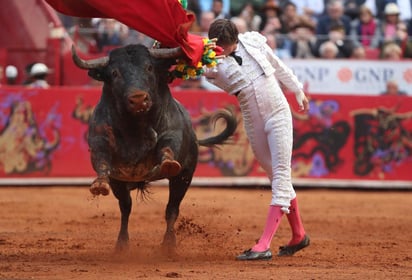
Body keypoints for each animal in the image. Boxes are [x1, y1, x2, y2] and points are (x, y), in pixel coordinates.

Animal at [72, 44, 237, 252]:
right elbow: (102, 161)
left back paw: (168, 244)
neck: (136, 126)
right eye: (115, 73)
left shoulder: (171, 135)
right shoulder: (100, 141)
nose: (138, 99)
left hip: (184, 178)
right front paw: (100, 183)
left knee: (171, 209)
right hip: (120, 184)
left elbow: (167, 149)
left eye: (149, 67)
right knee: (126, 207)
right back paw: (122, 244)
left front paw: (168, 164)